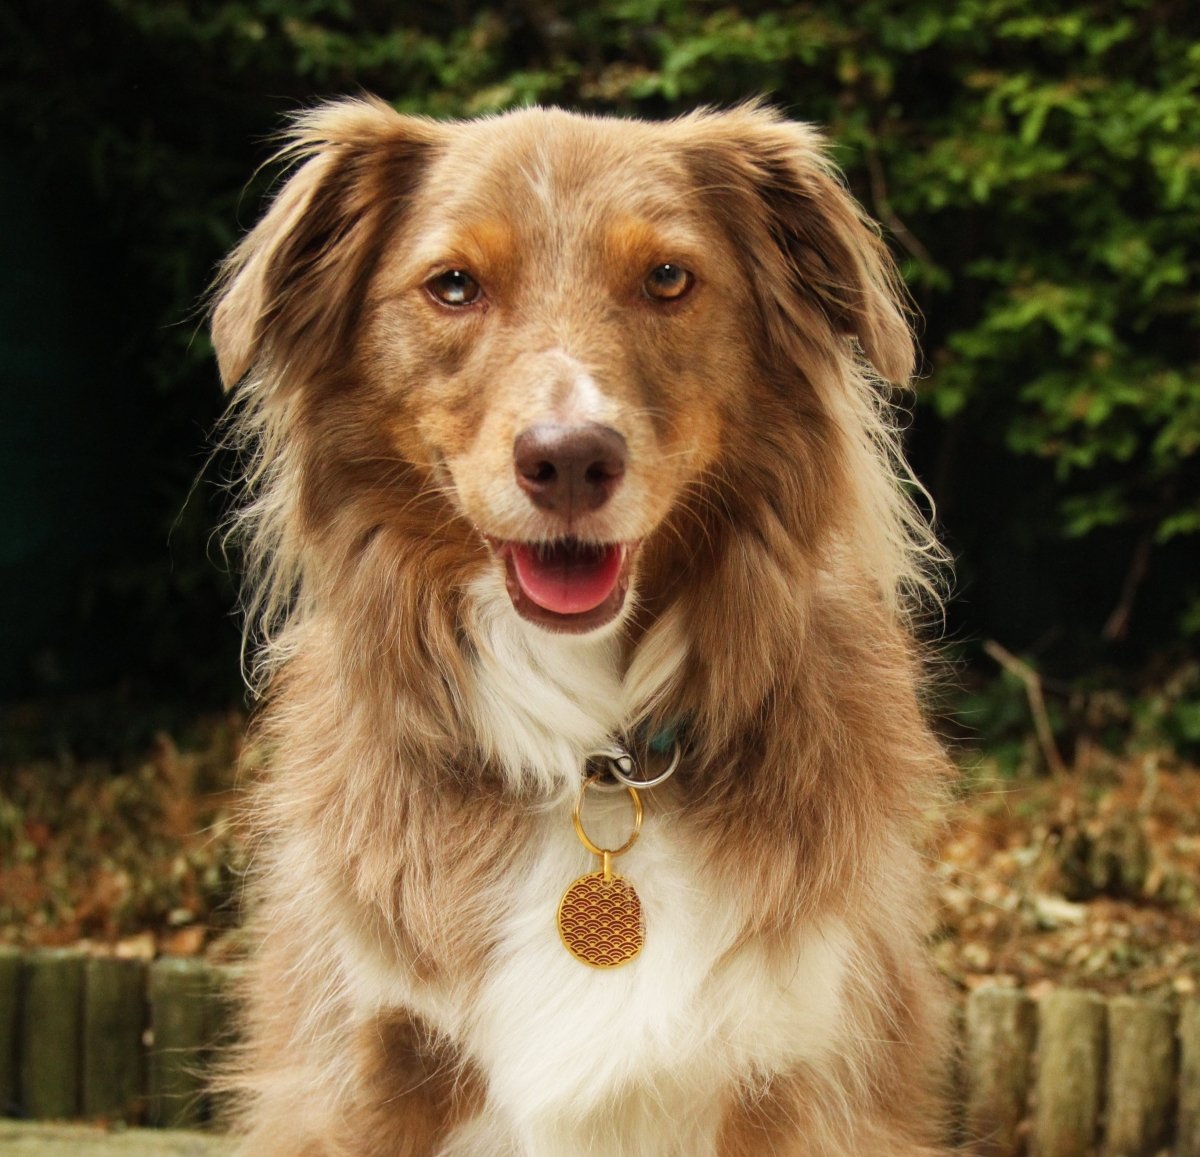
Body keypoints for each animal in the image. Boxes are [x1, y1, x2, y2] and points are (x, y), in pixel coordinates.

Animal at [211, 101, 950, 1157]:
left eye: (669, 277)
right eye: (453, 285)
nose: (568, 459)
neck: (594, 763)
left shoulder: (804, 1073)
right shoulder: (367, 1061)